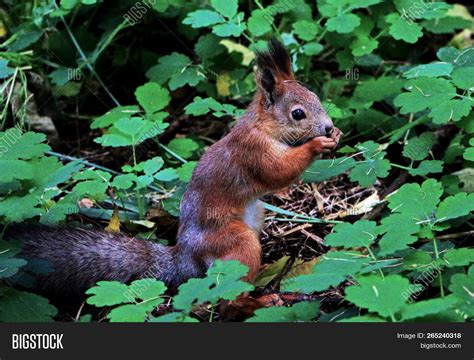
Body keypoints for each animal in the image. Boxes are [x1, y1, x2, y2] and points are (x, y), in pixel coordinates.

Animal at [5, 40, 338, 296]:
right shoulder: (252, 152)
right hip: (233, 240)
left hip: (255, 215)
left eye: (317, 97)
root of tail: (185, 259)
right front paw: (317, 145)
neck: (264, 126)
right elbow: (277, 172)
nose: (328, 126)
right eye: (298, 114)